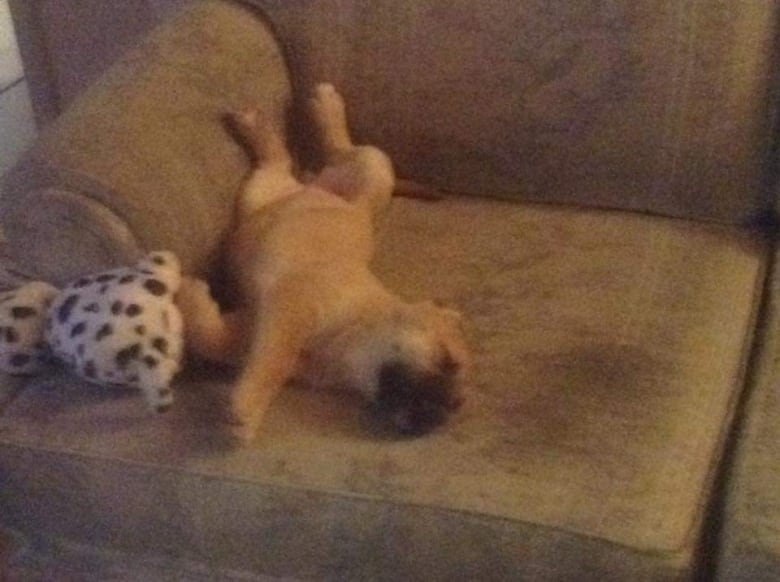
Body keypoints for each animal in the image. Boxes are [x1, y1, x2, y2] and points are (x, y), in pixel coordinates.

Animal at [177, 83, 470, 442]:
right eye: (448, 362)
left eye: (455, 408)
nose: (436, 419)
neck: (353, 333)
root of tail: (314, 186)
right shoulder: (290, 306)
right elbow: (272, 361)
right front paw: (246, 410)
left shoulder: (245, 334)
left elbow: (213, 339)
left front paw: (193, 298)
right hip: (372, 169)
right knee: (339, 149)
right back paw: (324, 106)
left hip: (259, 194)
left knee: (278, 160)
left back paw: (262, 127)